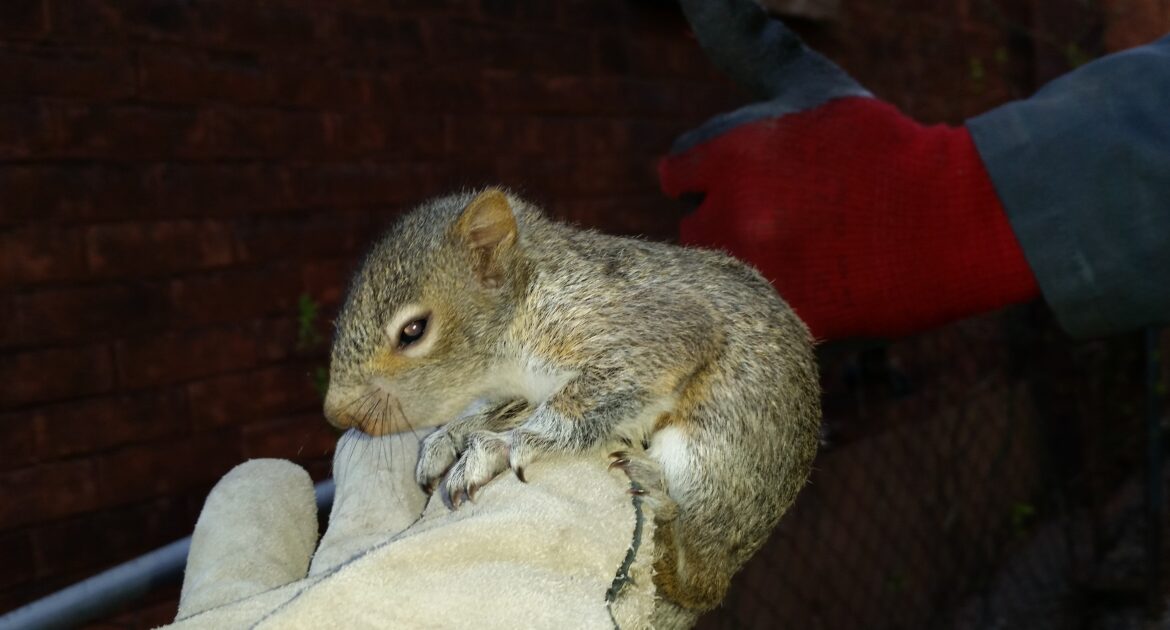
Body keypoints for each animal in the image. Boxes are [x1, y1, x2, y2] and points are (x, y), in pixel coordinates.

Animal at [324, 188, 821, 625]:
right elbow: (499, 409)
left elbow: (585, 398)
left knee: (698, 580)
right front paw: (451, 435)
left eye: (414, 330)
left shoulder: (646, 327)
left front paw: (506, 445)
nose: (336, 413)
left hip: (714, 452)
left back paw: (660, 508)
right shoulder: (517, 388)